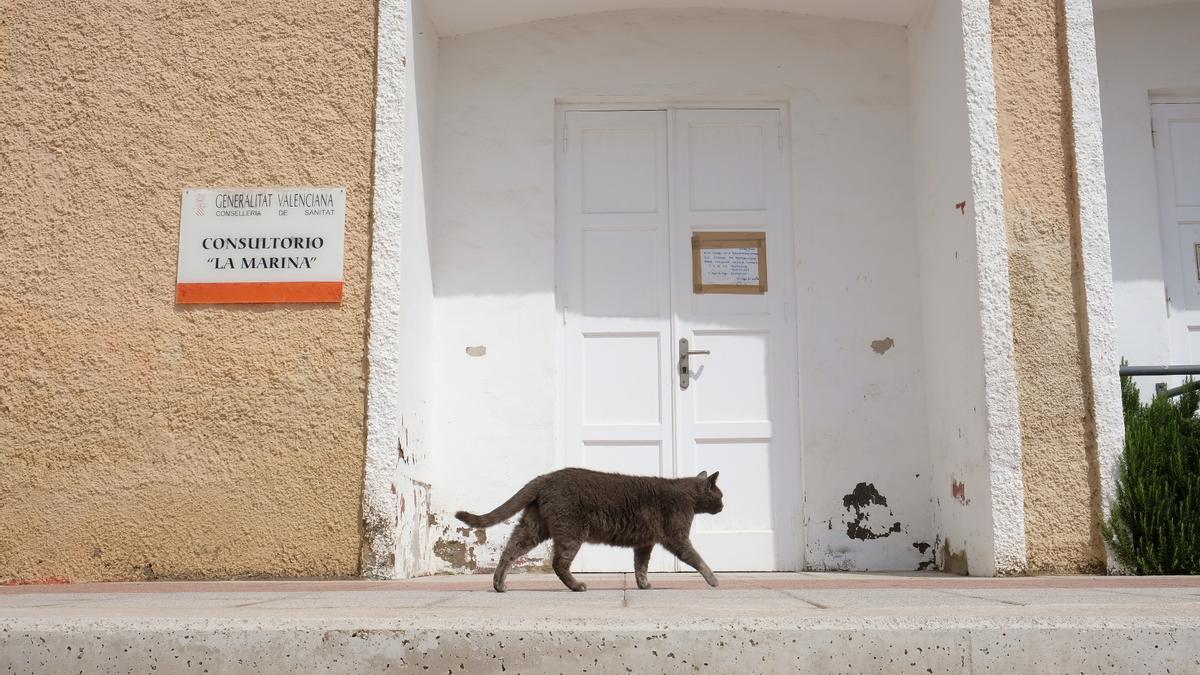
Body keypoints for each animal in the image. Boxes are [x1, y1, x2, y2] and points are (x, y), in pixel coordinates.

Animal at [456, 466, 720, 590]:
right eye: (720, 495)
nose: (723, 505)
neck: (689, 498)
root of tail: (546, 477)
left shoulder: (644, 544)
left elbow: (640, 566)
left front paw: (643, 584)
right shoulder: (677, 538)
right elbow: (697, 559)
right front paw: (713, 580)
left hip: (533, 527)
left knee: (509, 551)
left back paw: (499, 585)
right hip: (571, 532)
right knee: (558, 563)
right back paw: (576, 586)